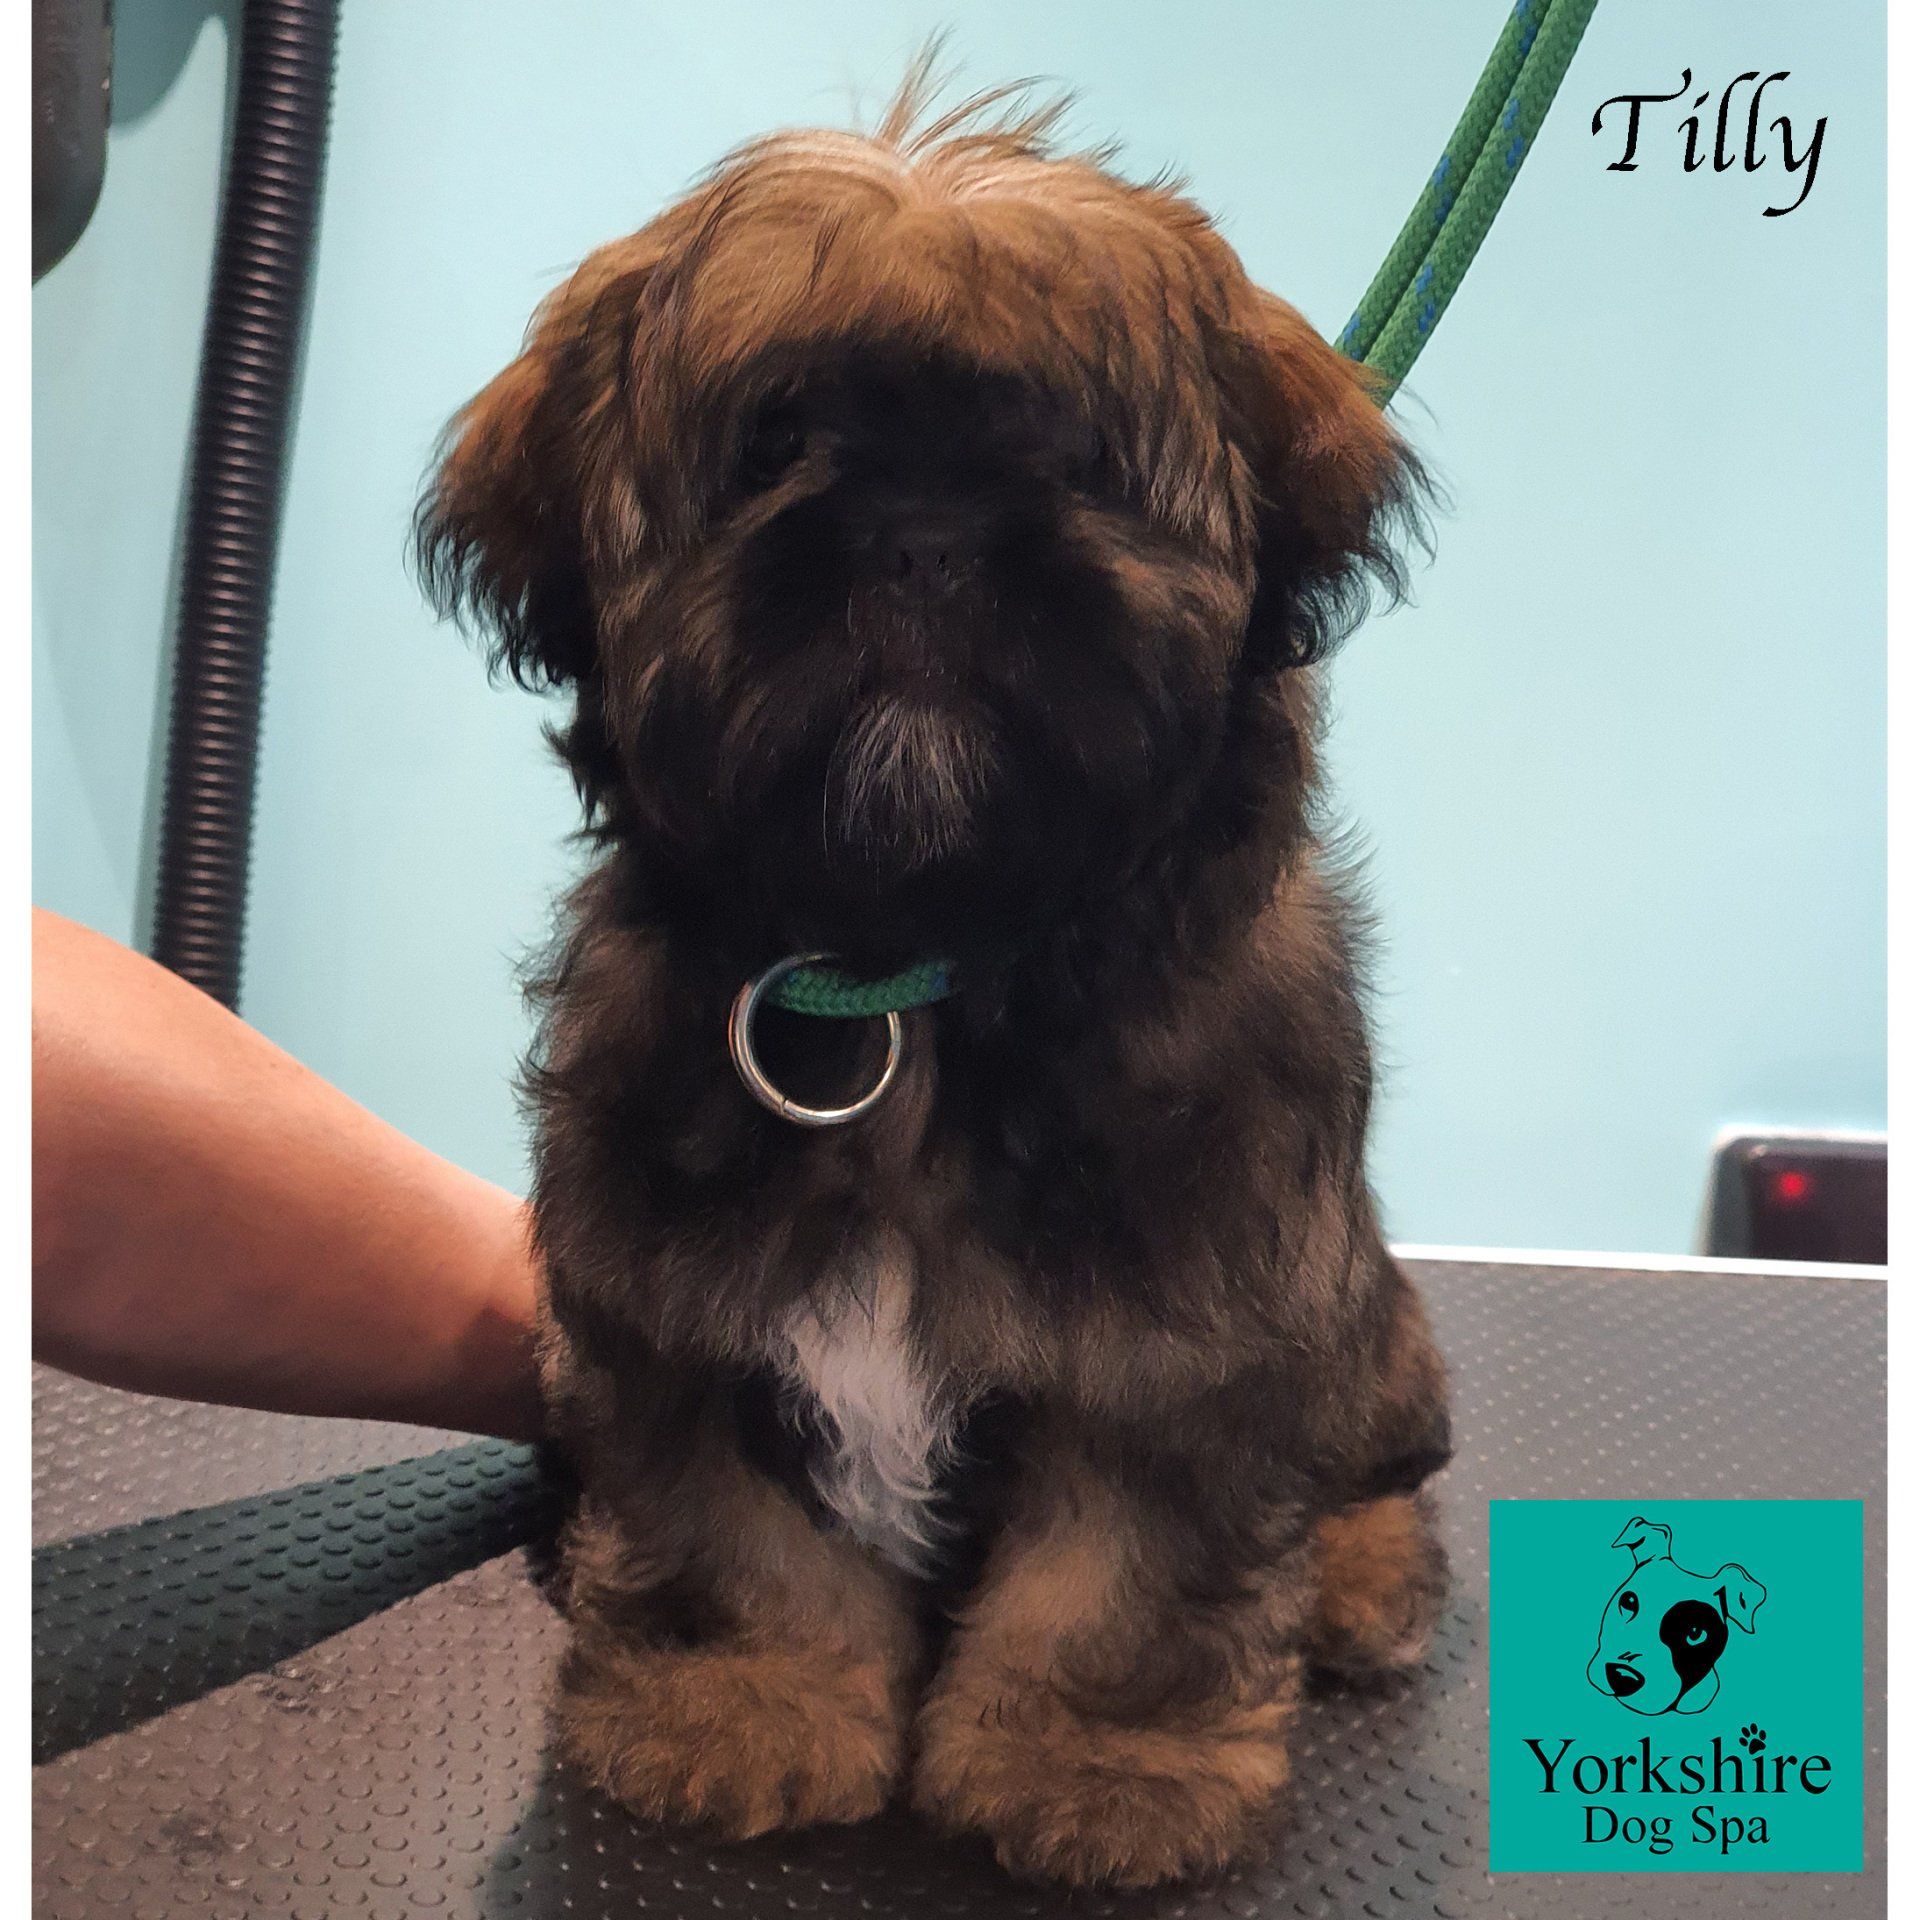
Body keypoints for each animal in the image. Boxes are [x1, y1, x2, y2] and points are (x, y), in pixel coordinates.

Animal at [417, 69, 1452, 1888]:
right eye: (774, 447)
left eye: (1071, 454)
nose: (920, 539)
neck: (928, 972)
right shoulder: (672, 1302)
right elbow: (727, 1526)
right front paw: (742, 1702)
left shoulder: (1192, 1333)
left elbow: (1127, 1569)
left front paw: (1101, 1762)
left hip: (1371, 1330)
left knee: (1376, 1470)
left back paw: (1362, 1574)